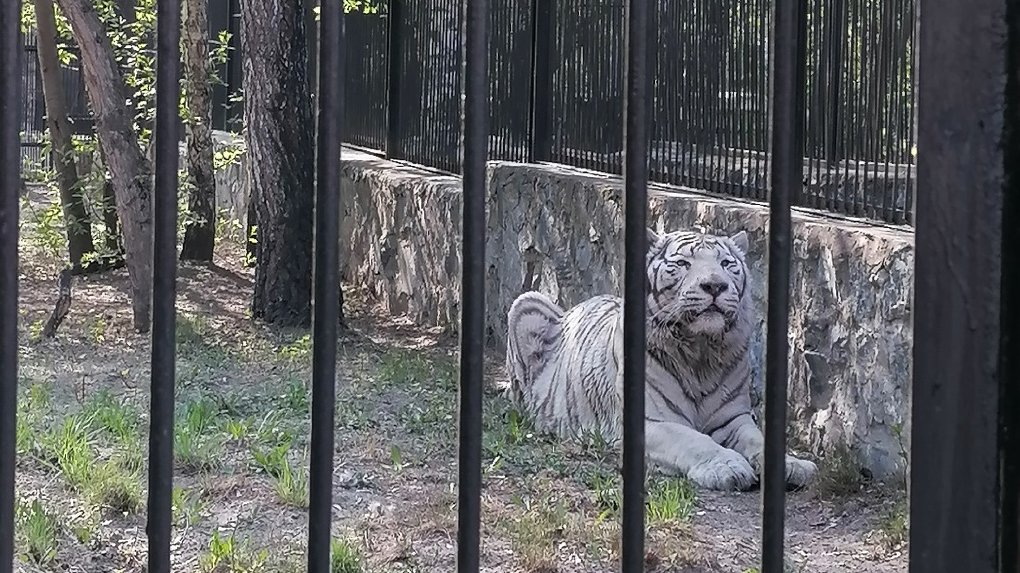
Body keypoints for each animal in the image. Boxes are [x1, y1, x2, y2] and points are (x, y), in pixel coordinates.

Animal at [505, 227, 816, 491]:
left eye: (727, 264)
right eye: (683, 264)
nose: (715, 285)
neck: (701, 352)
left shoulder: (734, 418)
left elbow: (758, 439)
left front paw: (793, 465)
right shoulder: (649, 421)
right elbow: (694, 440)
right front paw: (728, 467)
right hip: (527, 303)